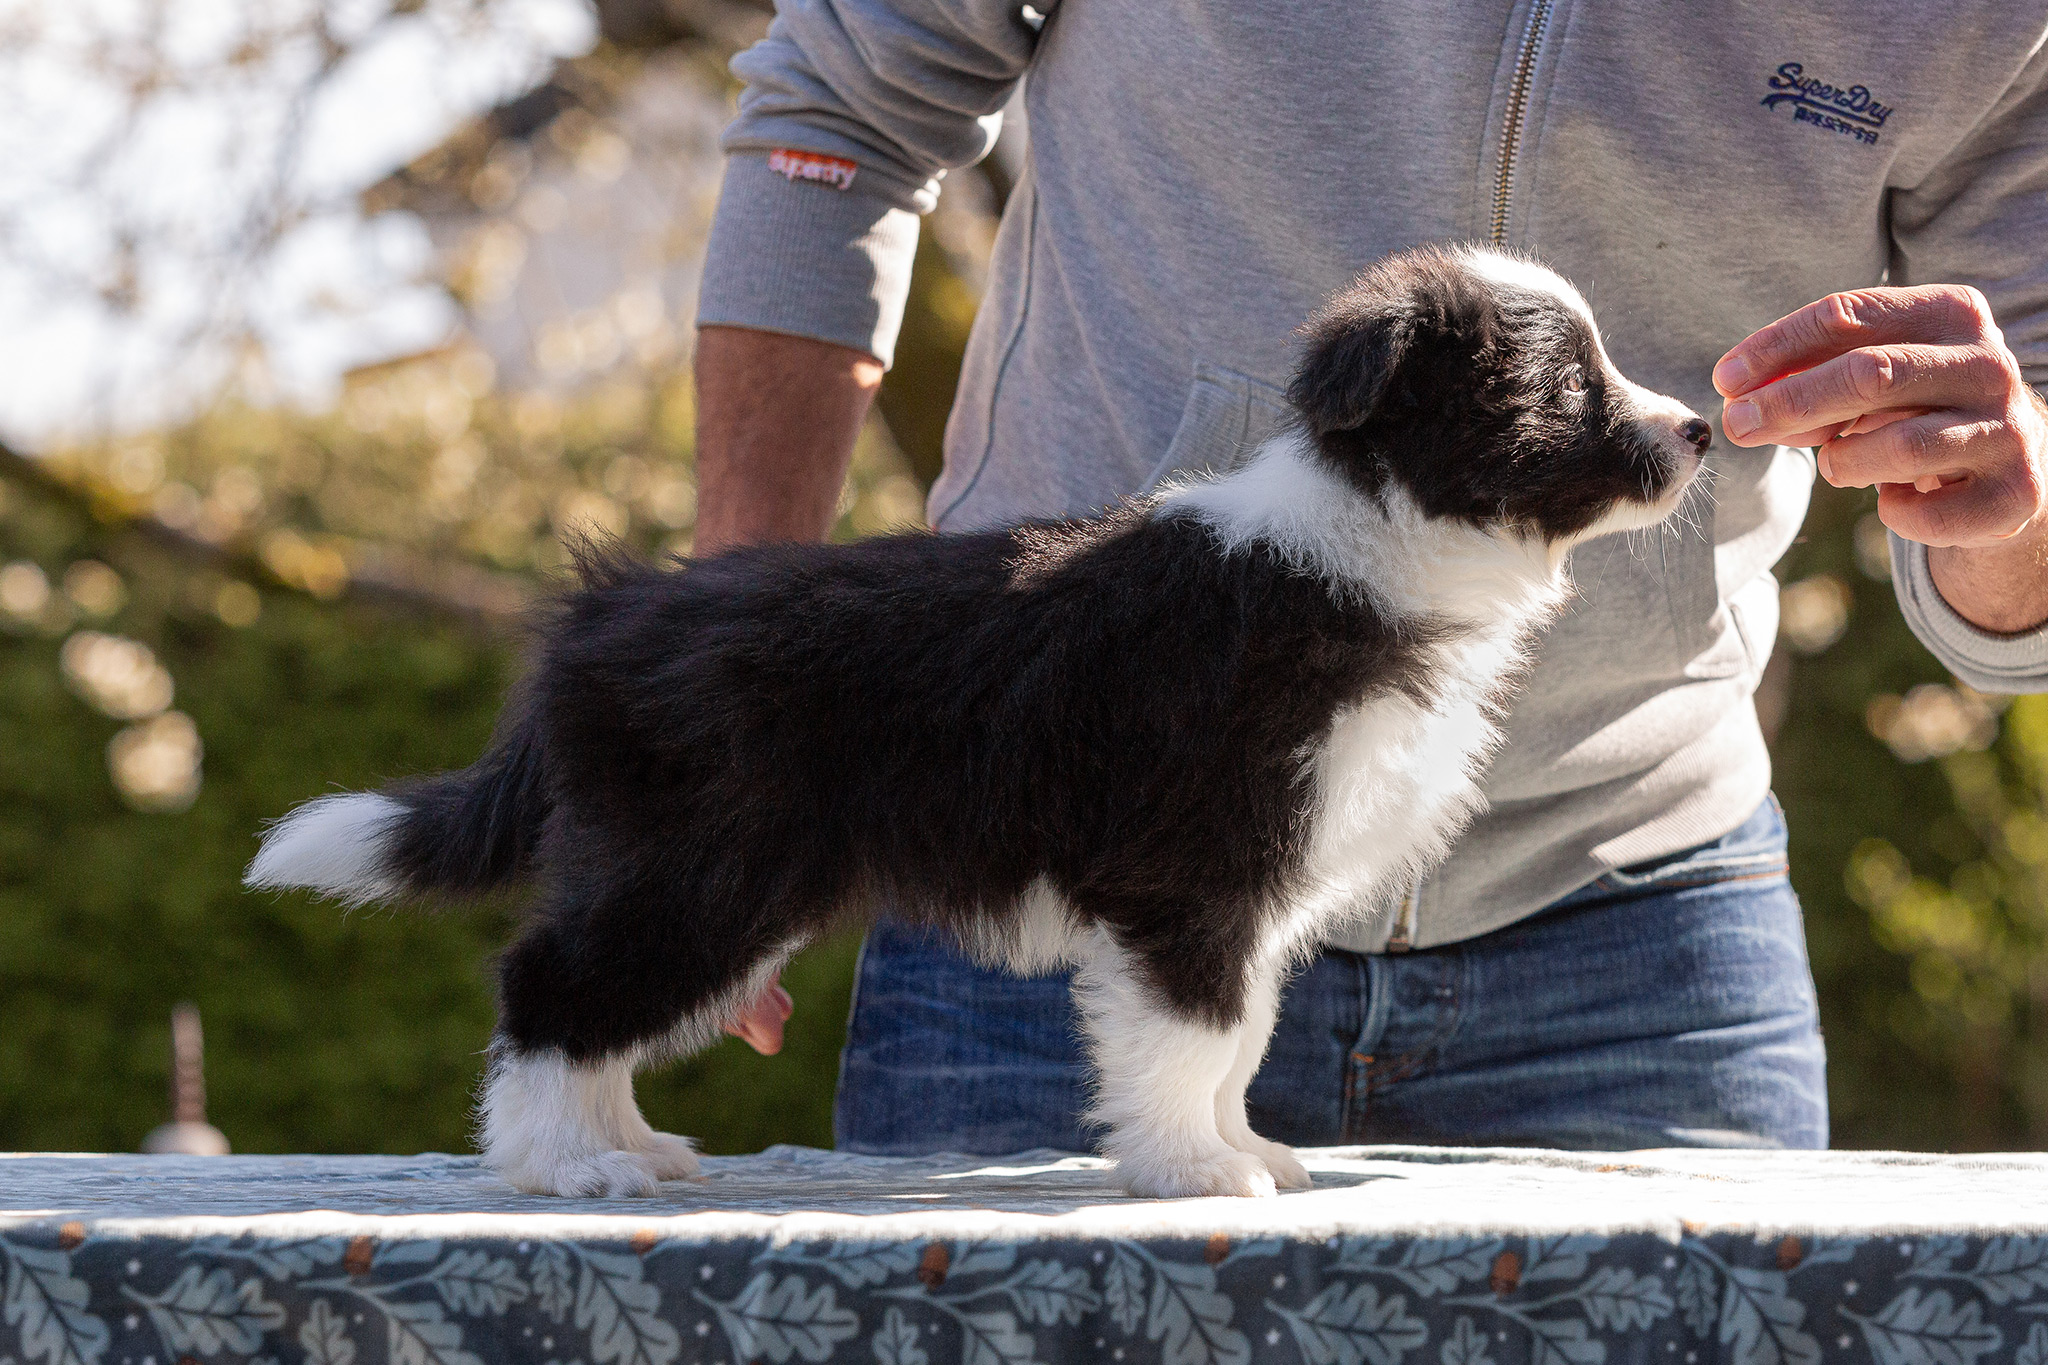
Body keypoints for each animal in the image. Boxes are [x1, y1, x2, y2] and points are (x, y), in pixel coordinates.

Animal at [243, 242, 1712, 1195]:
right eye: (1569, 387)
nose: (1700, 430)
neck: (1377, 538)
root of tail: (600, 620)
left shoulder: (1248, 887)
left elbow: (1239, 1038)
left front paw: (1241, 1150)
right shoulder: (1194, 870)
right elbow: (1200, 1030)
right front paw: (1196, 1171)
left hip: (710, 878)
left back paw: (627, 1147)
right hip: (705, 867)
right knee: (551, 985)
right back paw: (567, 1170)